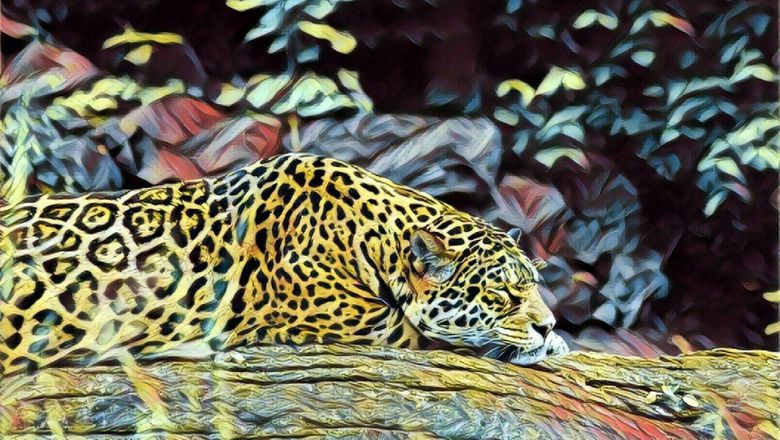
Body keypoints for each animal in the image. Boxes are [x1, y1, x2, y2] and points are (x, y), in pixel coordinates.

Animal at [0, 153, 567, 376]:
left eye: (534, 287)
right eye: (503, 294)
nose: (547, 324)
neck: (370, 231)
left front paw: (554, 340)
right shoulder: (366, 325)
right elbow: (433, 334)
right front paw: (542, 344)